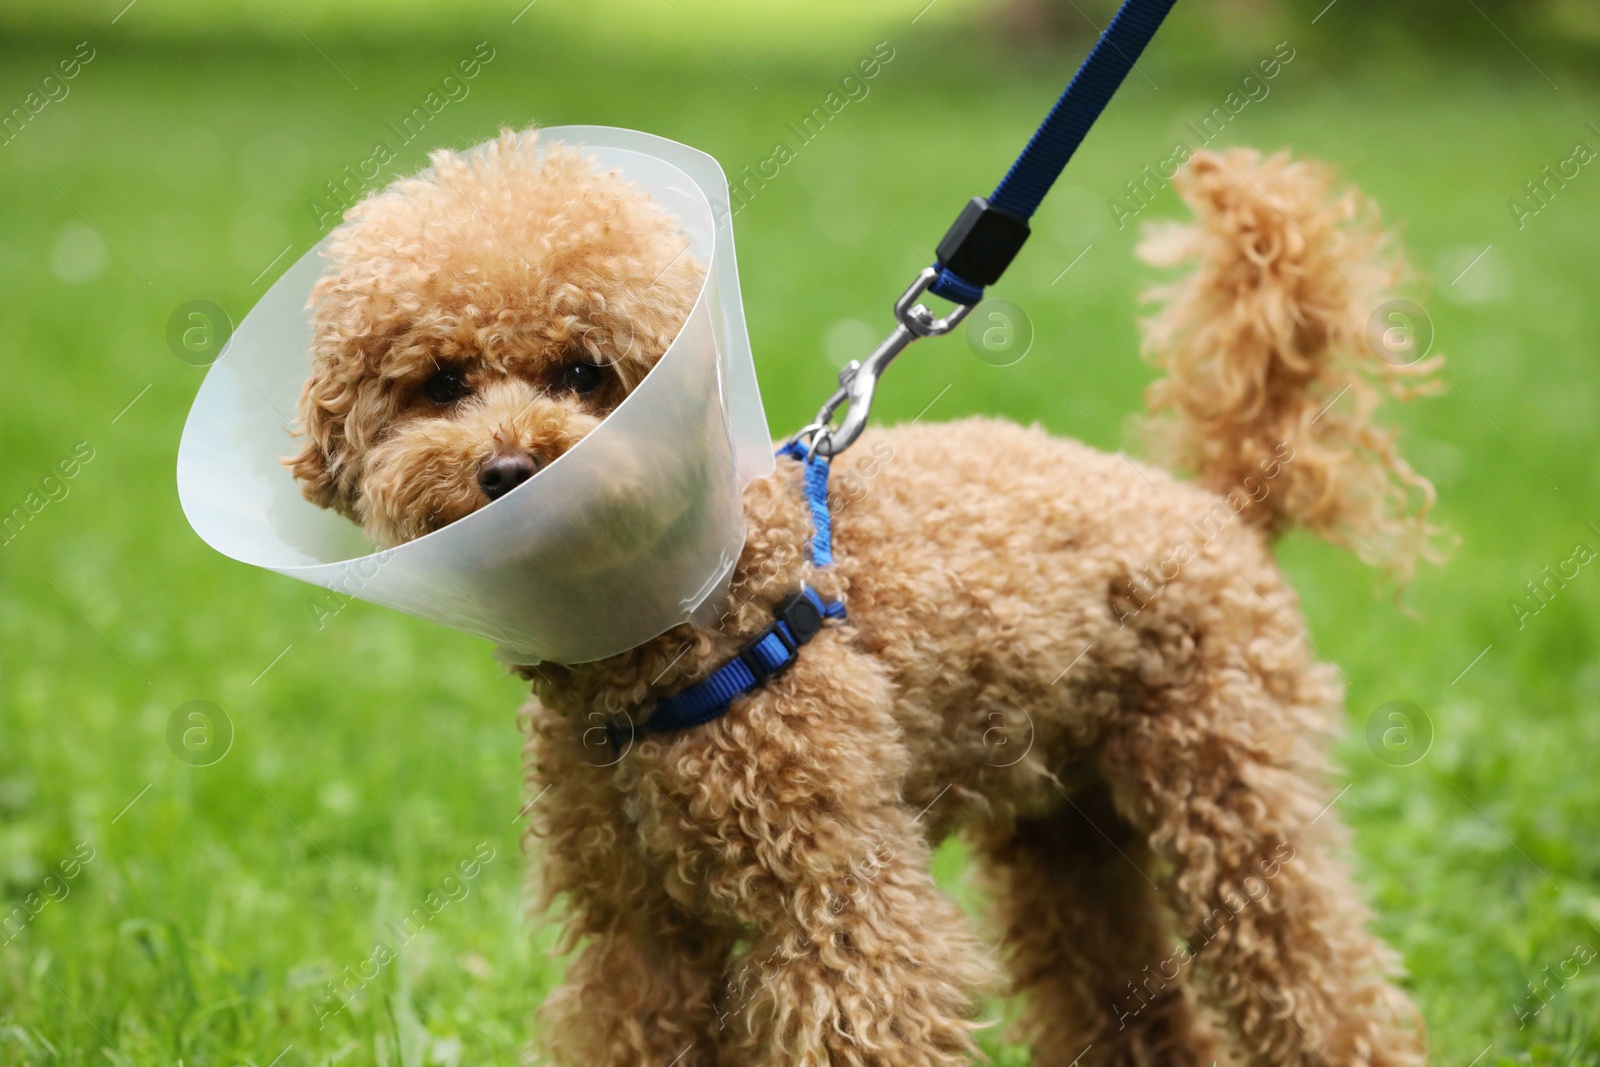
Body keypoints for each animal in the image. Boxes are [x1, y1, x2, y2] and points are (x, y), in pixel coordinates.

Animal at [291, 131, 1452, 1067]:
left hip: (1231, 790)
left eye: (586, 370)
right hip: (1068, 830)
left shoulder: (837, 899)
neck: (694, 616)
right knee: (1133, 1004)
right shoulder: (640, 933)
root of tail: (1215, 504)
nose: (508, 469)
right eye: (441, 382)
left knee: (1317, 980)